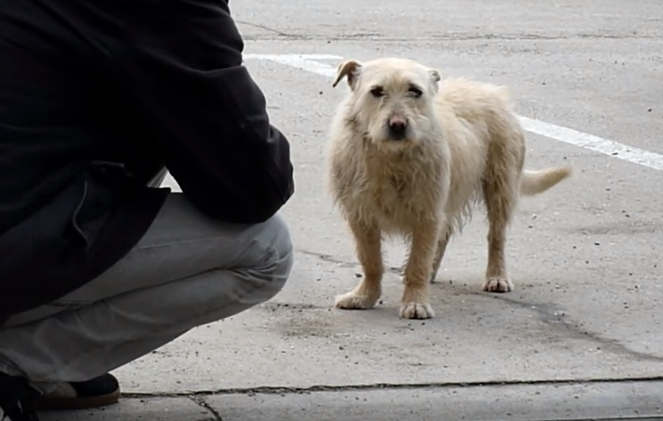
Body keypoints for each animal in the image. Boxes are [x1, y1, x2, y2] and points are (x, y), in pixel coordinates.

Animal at [324, 55, 572, 318]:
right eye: (377, 91)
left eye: (415, 91)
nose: (398, 125)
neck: (391, 157)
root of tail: (491, 91)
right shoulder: (361, 215)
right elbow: (371, 261)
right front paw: (364, 297)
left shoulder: (427, 215)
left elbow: (418, 263)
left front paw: (415, 302)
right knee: (443, 235)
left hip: (500, 186)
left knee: (496, 236)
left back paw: (496, 276)